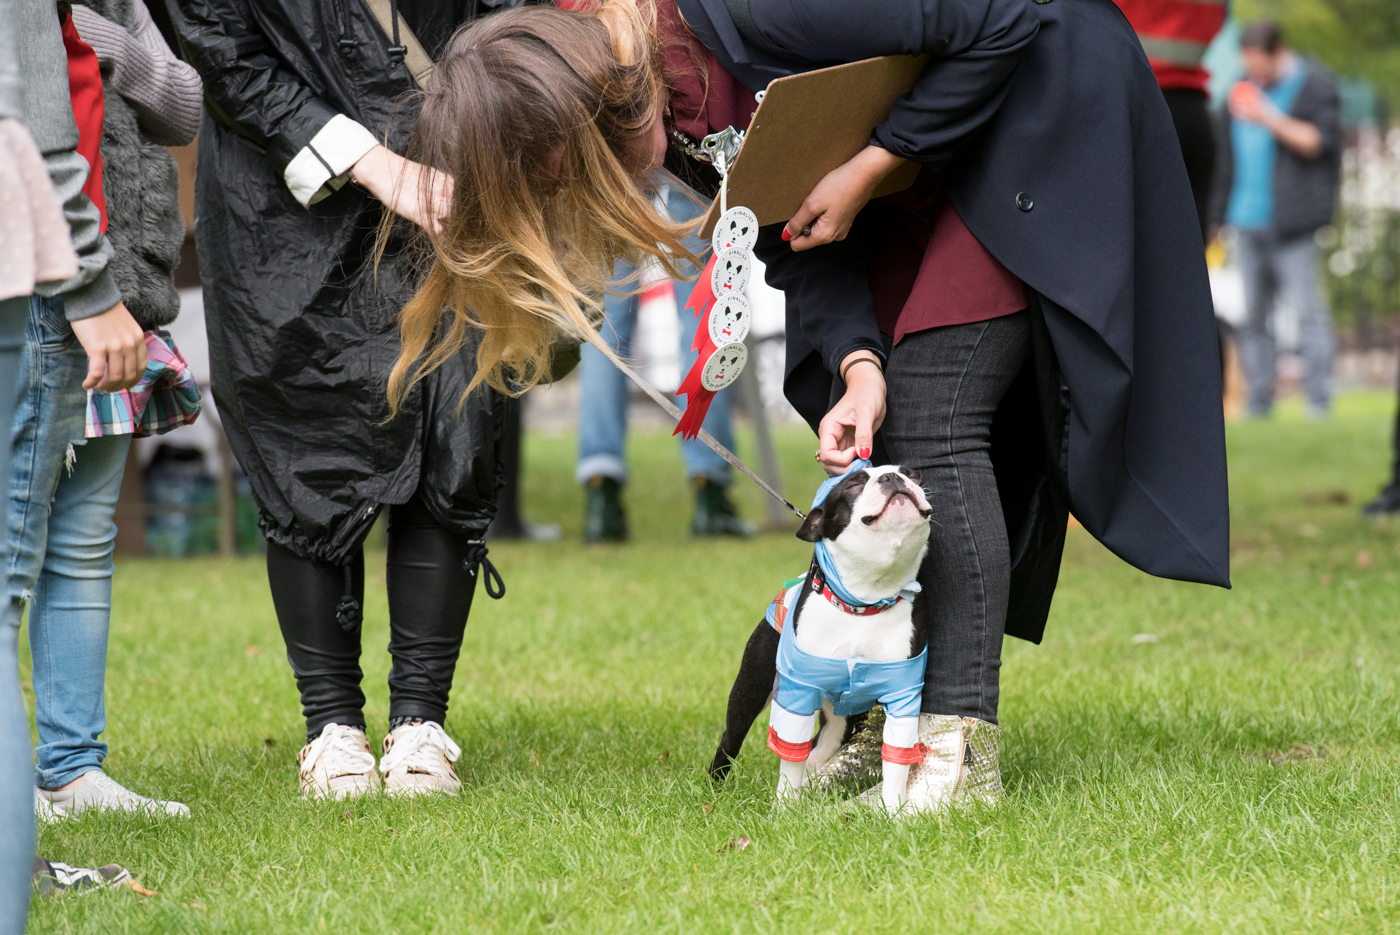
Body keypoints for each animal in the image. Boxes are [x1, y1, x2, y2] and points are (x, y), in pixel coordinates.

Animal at [711, 464, 929, 811]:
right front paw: (784, 809)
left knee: (819, 750)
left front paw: (893, 811)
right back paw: (714, 789)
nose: (893, 478)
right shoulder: (797, 693)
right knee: (731, 741)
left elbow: (897, 761)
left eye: (913, 474)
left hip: (843, 719)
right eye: (853, 484)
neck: (864, 602)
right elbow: (790, 757)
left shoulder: (902, 696)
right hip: (749, 691)